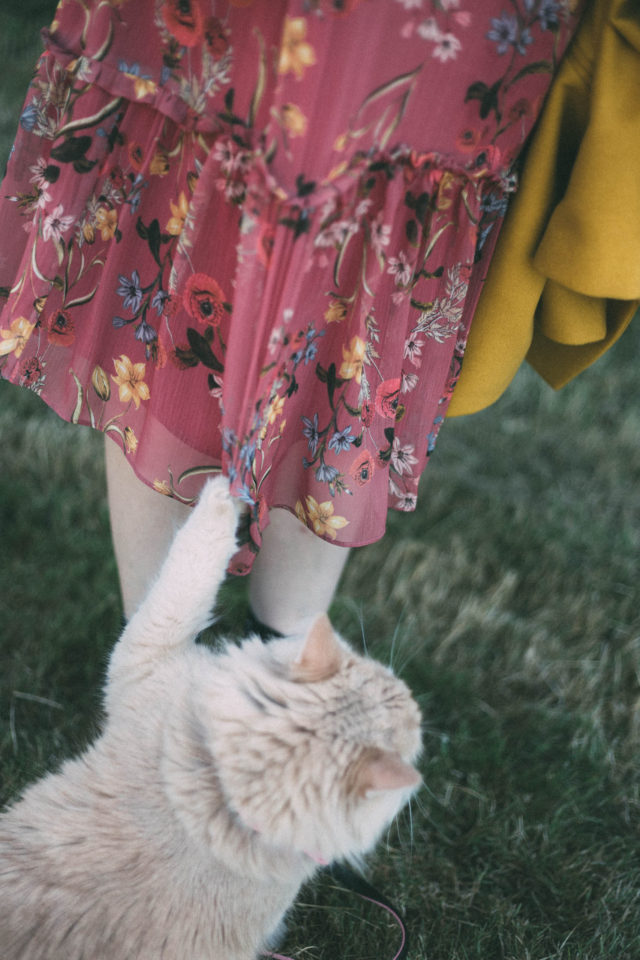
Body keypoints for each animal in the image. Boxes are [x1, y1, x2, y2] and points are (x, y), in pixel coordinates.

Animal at [0, 478, 420, 960]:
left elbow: (194, 556)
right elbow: (196, 557)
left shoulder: (149, 645)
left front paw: (222, 494)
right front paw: (229, 490)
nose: (417, 701)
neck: (216, 791)